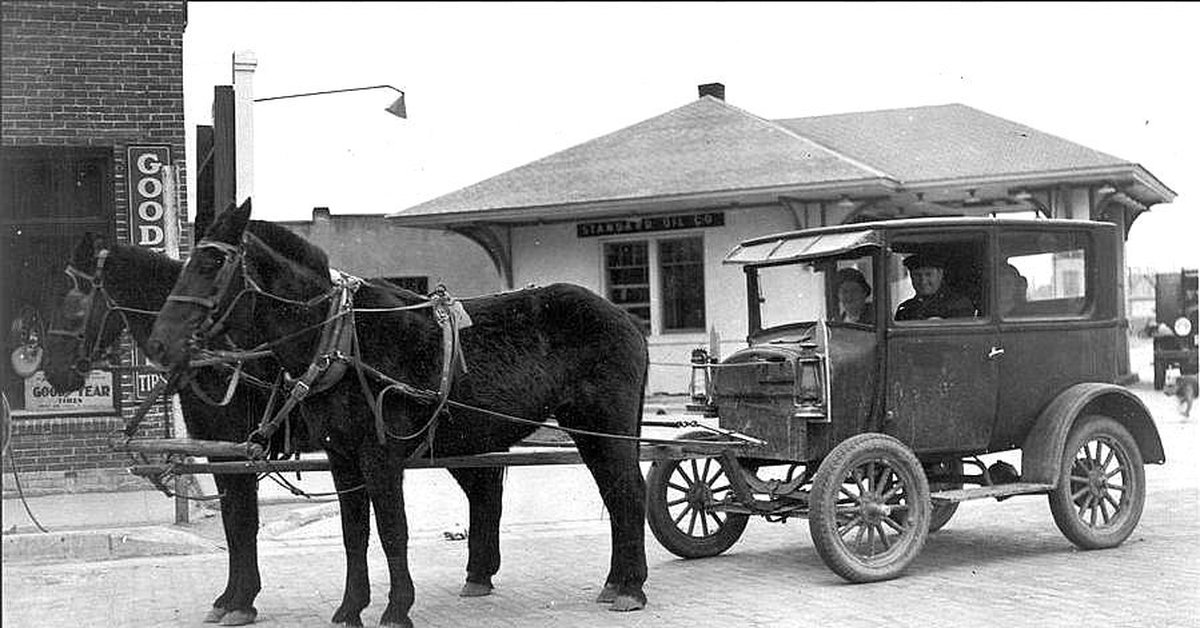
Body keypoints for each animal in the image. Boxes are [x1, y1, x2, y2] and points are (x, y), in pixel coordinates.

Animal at [148, 201, 652, 628]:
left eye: (211, 265)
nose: (158, 344)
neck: (343, 342)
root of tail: (625, 317)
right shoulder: (342, 457)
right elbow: (354, 535)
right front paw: (350, 608)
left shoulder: (380, 456)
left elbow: (393, 531)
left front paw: (396, 609)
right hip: (586, 430)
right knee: (613, 494)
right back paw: (615, 582)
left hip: (606, 426)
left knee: (629, 493)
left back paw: (631, 588)